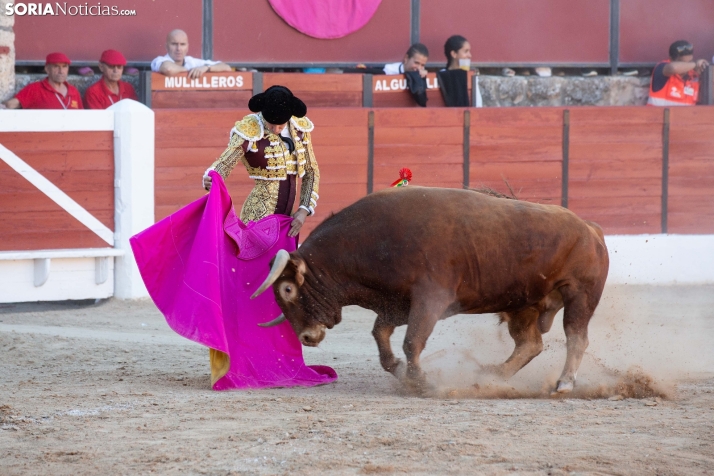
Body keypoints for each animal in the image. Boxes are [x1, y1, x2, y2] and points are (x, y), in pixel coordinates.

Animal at [250, 187, 608, 394]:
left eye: (287, 289)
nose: (307, 337)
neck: (374, 239)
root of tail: (591, 229)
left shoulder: (430, 299)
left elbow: (412, 341)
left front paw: (422, 382)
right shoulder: (396, 303)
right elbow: (381, 336)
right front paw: (400, 372)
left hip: (580, 295)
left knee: (576, 337)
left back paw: (564, 383)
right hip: (525, 306)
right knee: (530, 344)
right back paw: (492, 375)